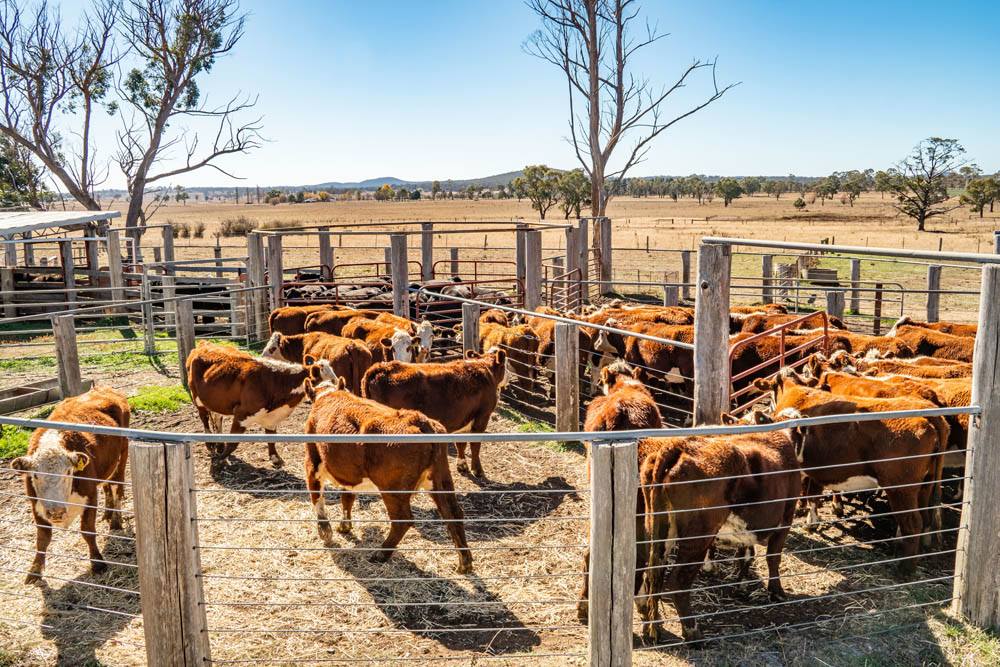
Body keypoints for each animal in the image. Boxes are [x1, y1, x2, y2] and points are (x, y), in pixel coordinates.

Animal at [11, 387, 130, 583]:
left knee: (116, 487)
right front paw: (34, 571)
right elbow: (42, 538)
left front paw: (98, 563)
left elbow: (87, 531)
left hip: (122, 456)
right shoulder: (35, 503)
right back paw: (107, 513)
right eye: (35, 475)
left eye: (68, 472)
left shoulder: (90, 496)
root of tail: (102, 388)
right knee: (107, 486)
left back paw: (115, 520)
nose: (56, 512)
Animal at [303, 363, 473, 573]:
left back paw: (381, 553)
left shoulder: (312, 463)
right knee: (453, 513)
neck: (327, 395)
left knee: (403, 520)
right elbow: (347, 497)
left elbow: (317, 498)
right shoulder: (348, 473)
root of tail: (419, 420)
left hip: (392, 490)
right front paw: (344, 526)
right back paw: (464, 561)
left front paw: (325, 532)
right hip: (440, 478)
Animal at [362, 348, 507, 478]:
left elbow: (461, 444)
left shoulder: (463, 418)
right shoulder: (482, 416)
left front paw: (462, 466)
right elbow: (475, 444)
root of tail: (382, 367)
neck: (485, 369)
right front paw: (477, 470)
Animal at [636, 431, 800, 642]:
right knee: (678, 581)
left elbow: (747, 554)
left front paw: (742, 584)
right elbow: (773, 557)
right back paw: (693, 632)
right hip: (698, 536)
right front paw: (776, 592)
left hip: (660, 530)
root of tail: (677, 445)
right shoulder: (787, 516)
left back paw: (653, 628)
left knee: (653, 576)